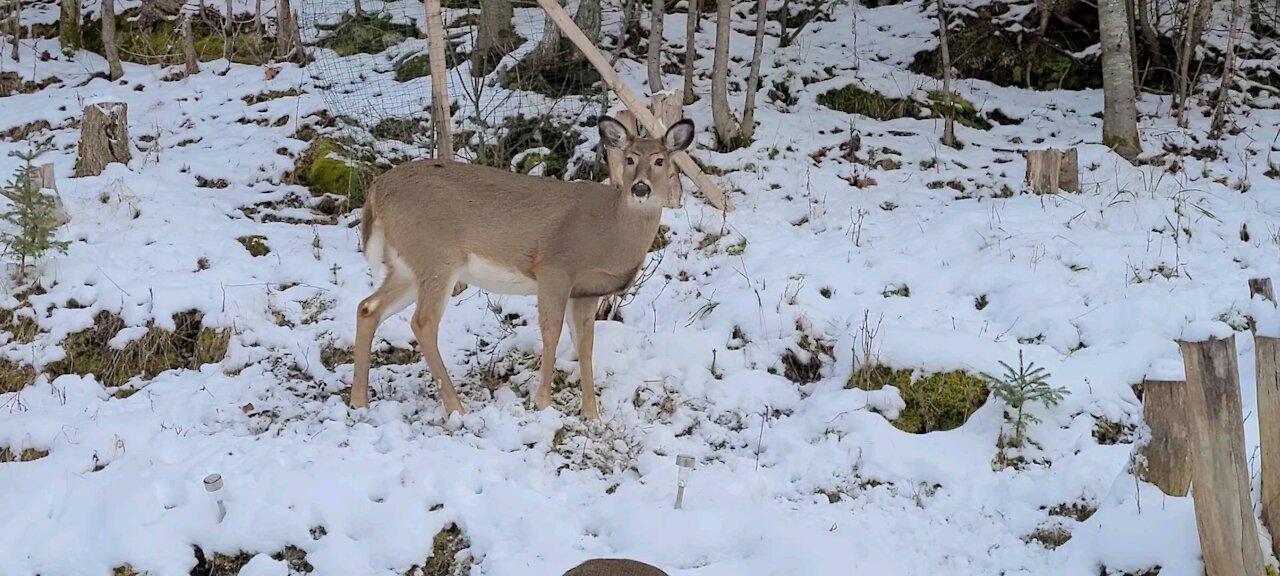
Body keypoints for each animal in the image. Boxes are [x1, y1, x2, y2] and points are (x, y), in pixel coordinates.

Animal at [350, 114, 696, 417]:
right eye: (629, 159)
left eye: (660, 161)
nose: (640, 188)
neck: (609, 231)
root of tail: (376, 191)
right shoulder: (555, 268)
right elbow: (551, 332)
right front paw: (542, 402)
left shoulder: (586, 291)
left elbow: (585, 344)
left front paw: (592, 414)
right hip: (436, 255)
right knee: (422, 322)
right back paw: (456, 407)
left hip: (407, 265)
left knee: (368, 307)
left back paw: (359, 400)